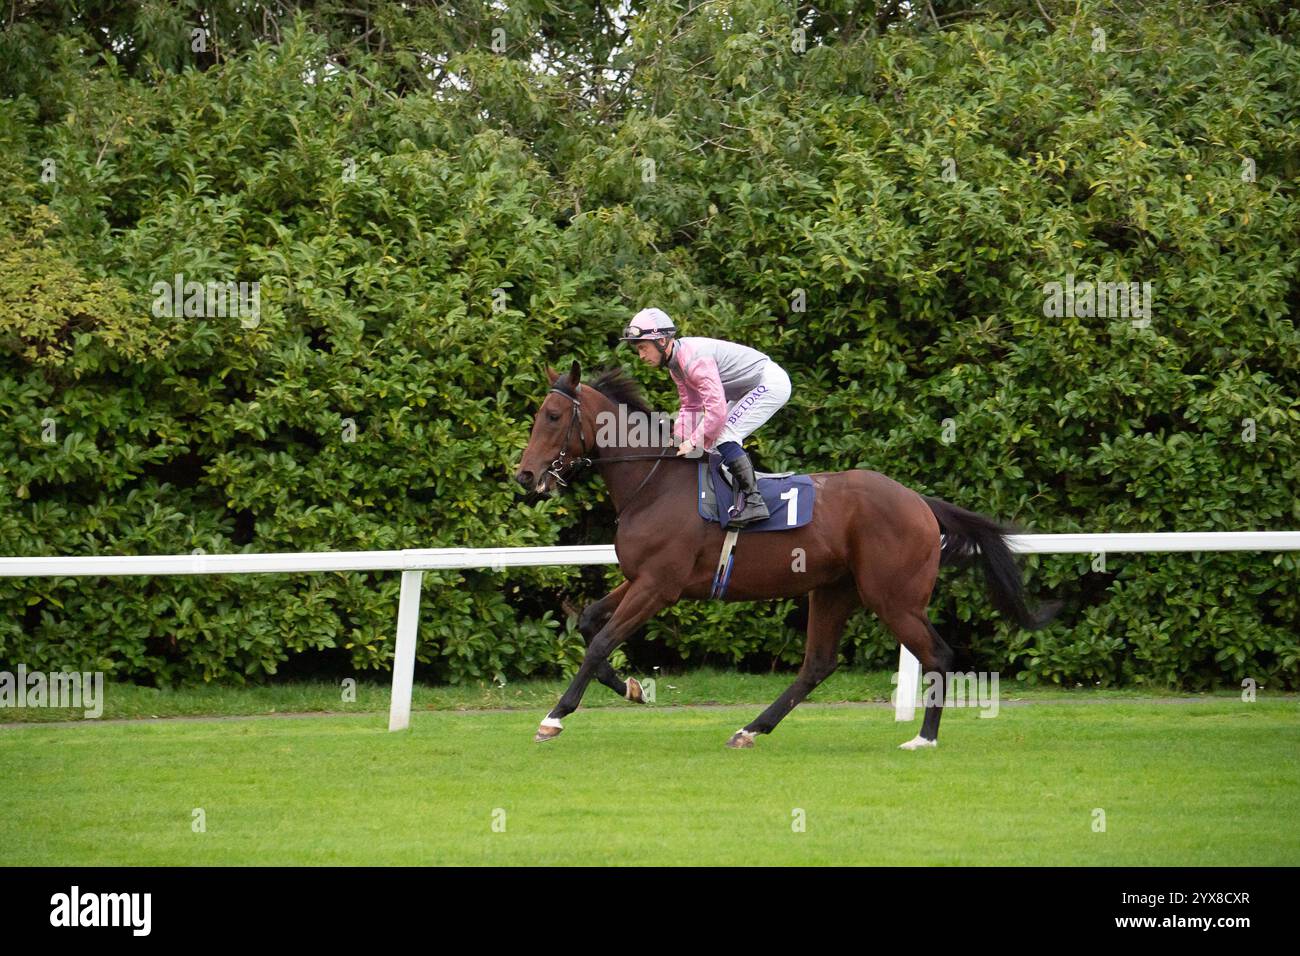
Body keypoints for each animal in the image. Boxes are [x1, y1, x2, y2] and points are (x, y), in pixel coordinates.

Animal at [512, 358, 1060, 749]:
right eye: (537, 415)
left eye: (553, 416)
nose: (525, 475)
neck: (654, 483)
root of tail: (920, 502)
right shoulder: (641, 577)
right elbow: (589, 623)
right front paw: (629, 687)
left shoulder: (659, 586)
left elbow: (601, 641)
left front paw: (553, 717)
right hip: (835, 589)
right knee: (817, 664)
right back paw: (751, 729)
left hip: (894, 598)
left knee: (938, 655)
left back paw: (923, 737)